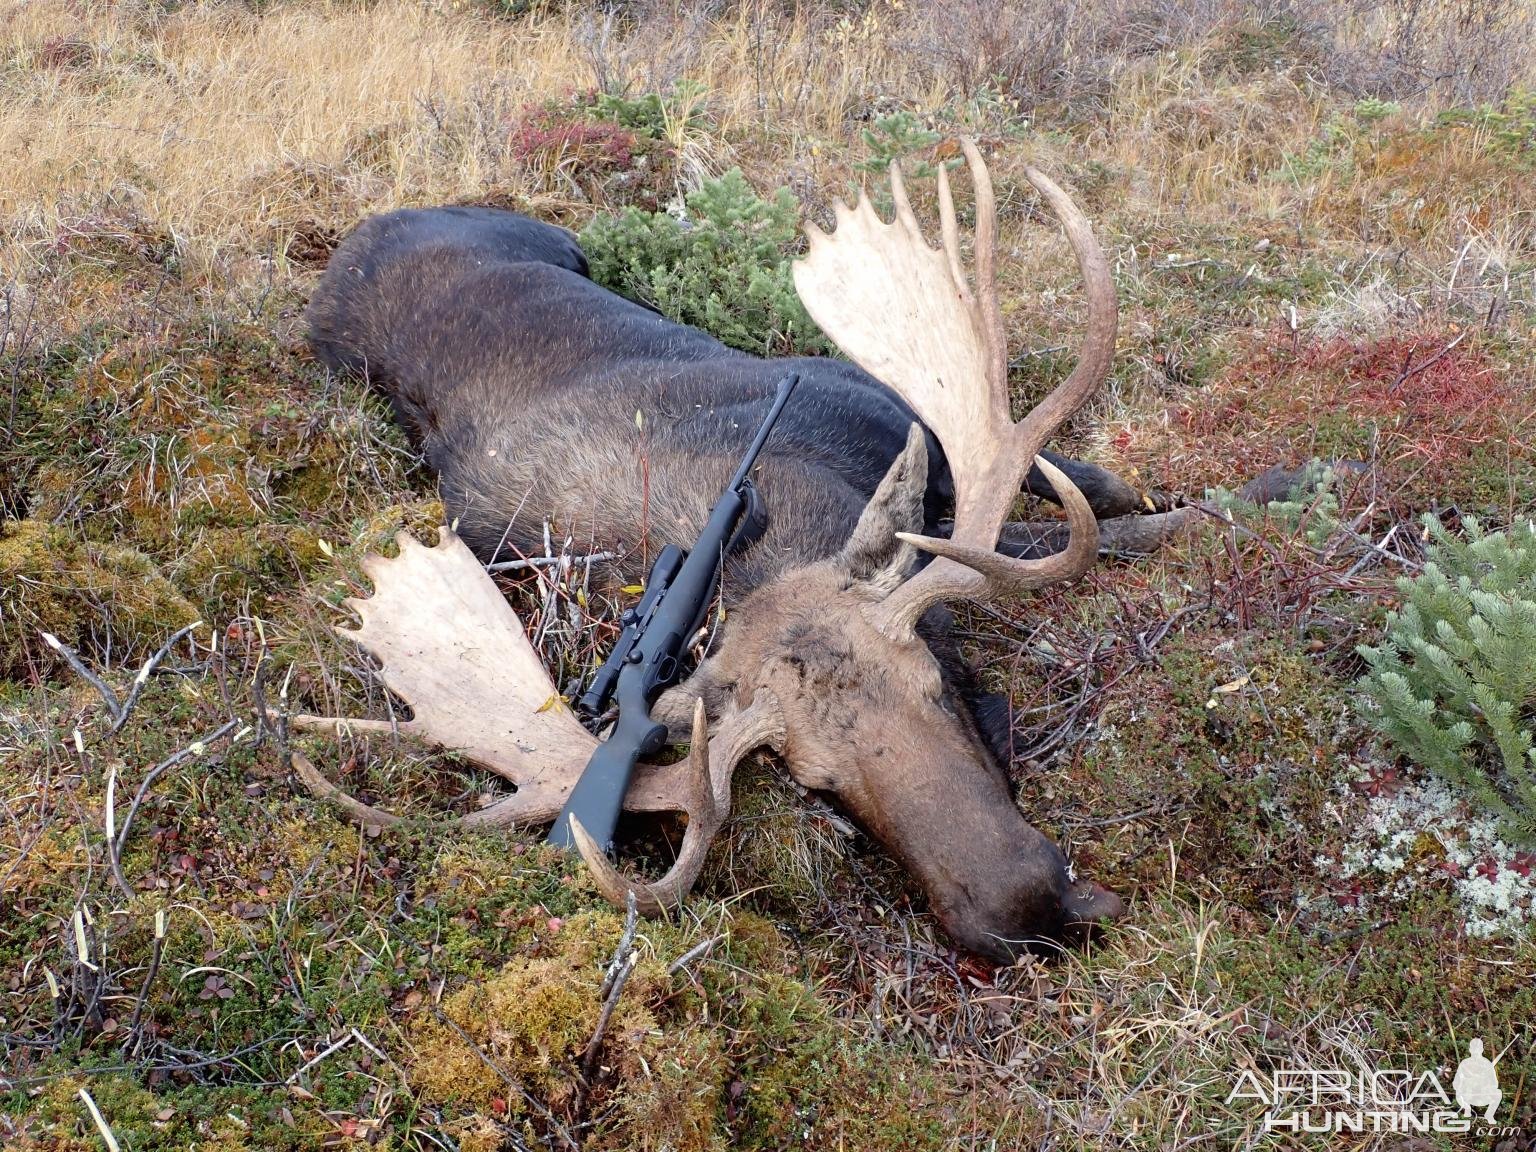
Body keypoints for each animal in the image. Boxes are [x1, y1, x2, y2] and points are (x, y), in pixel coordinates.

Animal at [293, 139, 1191, 958]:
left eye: (936, 686)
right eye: (821, 785)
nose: (1026, 910)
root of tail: (361, 231)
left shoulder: (880, 401)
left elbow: (1090, 488)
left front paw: (1189, 504)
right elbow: (1080, 526)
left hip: (564, 241)